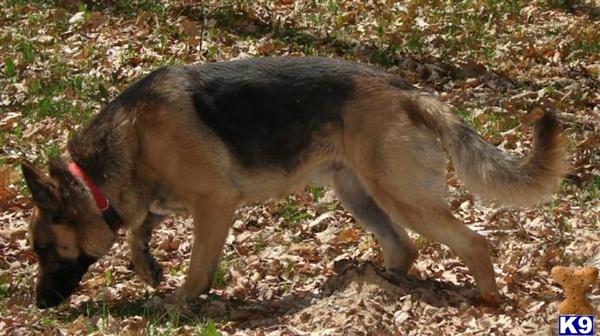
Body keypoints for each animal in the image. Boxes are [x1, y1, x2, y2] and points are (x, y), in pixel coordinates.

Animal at [21, 56, 568, 308]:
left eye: (45, 250)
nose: (40, 304)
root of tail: (406, 89)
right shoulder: (158, 202)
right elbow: (139, 228)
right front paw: (148, 266)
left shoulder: (214, 205)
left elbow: (196, 269)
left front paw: (179, 307)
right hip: (358, 195)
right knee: (404, 248)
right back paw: (376, 284)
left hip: (400, 195)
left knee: (474, 242)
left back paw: (487, 300)